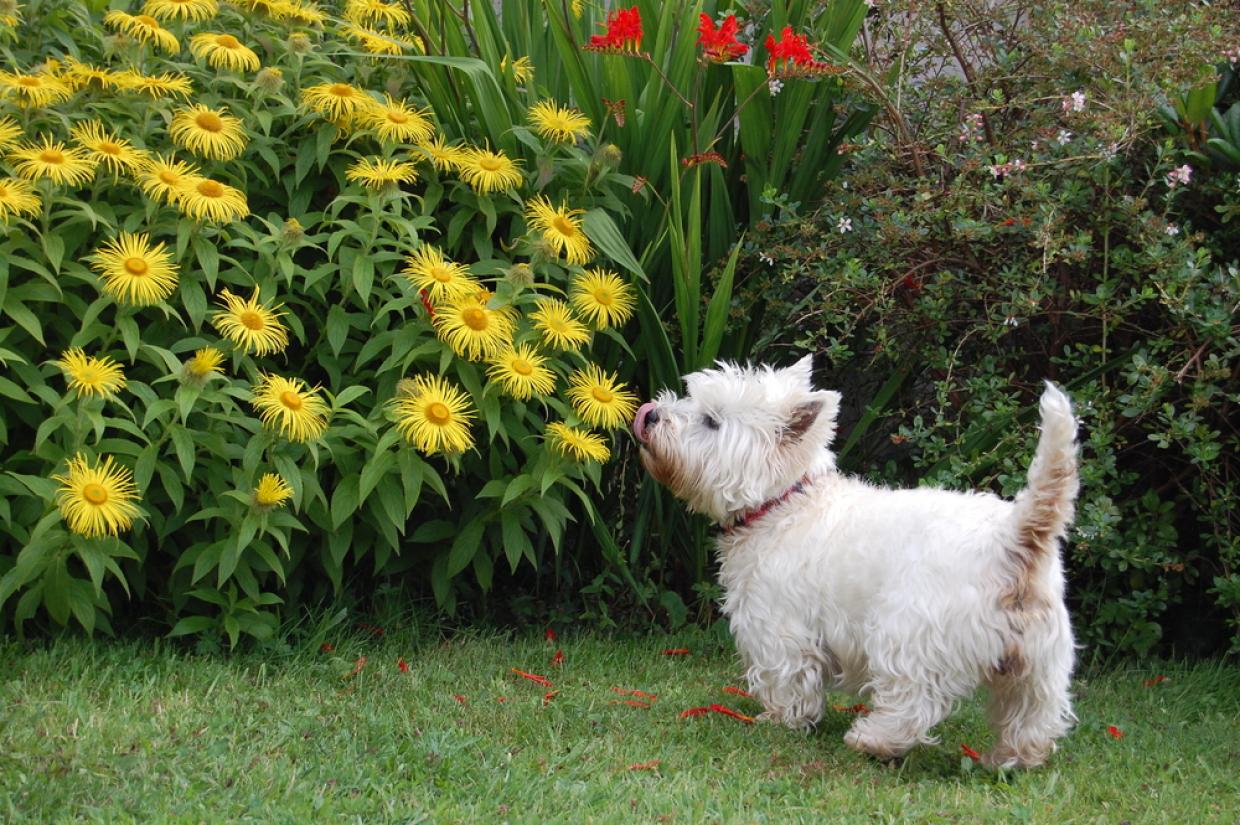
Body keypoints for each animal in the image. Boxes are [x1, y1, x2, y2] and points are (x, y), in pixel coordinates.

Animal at [634, 357, 1081, 769]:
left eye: (712, 421)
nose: (650, 414)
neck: (783, 504)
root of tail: (1014, 538)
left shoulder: (778, 625)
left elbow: (786, 678)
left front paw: (779, 719)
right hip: (1038, 661)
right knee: (1032, 715)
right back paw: (1010, 758)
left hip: (908, 634)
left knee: (912, 702)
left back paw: (872, 740)